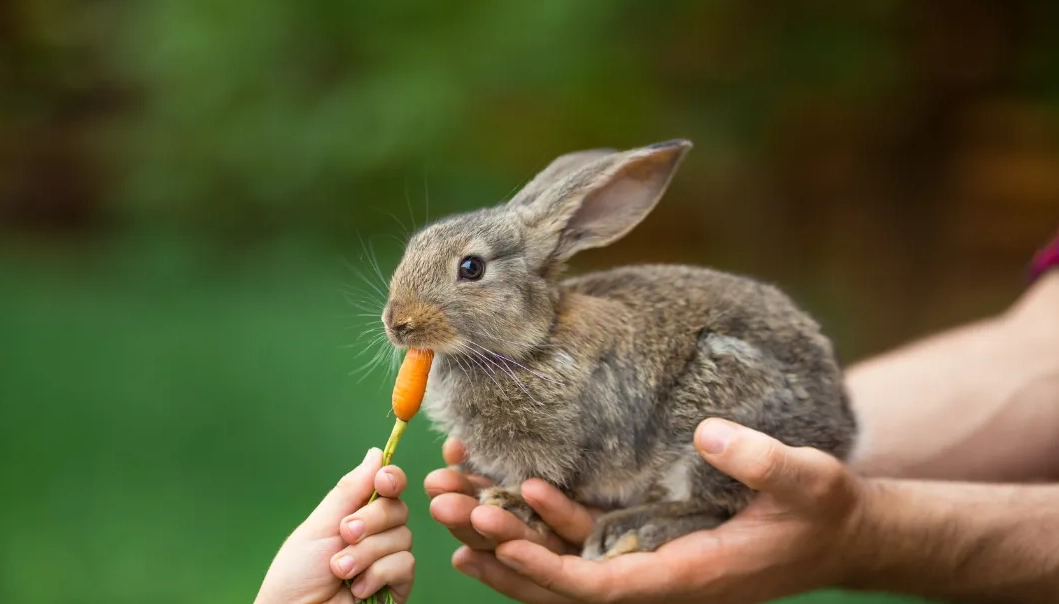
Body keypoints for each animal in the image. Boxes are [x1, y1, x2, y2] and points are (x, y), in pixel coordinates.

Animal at [380, 139, 858, 561]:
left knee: (711, 505)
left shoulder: (554, 446)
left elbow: (544, 479)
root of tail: (840, 433)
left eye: (471, 268)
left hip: (711, 421)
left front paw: (508, 500)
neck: (534, 341)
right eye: (414, 246)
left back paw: (629, 530)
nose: (397, 323)